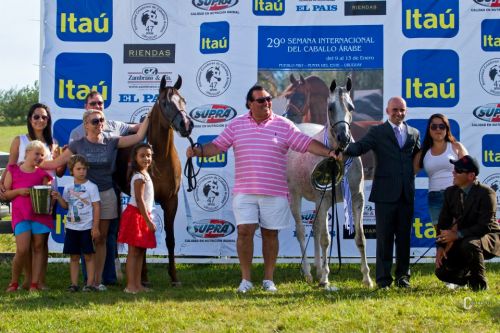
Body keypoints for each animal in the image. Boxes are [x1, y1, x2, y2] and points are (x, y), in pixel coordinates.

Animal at [115, 75, 193, 286]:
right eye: (165, 102)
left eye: (183, 100)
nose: (186, 125)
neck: (159, 159)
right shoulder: (145, 198)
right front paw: (143, 277)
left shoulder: (171, 201)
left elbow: (170, 240)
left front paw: (174, 277)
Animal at [288, 78, 374, 288]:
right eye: (330, 107)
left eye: (351, 107)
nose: (344, 138)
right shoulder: (324, 199)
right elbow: (326, 239)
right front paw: (326, 279)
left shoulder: (357, 200)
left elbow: (360, 238)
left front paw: (367, 278)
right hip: (295, 196)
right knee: (301, 231)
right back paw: (309, 273)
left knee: (316, 229)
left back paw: (318, 270)